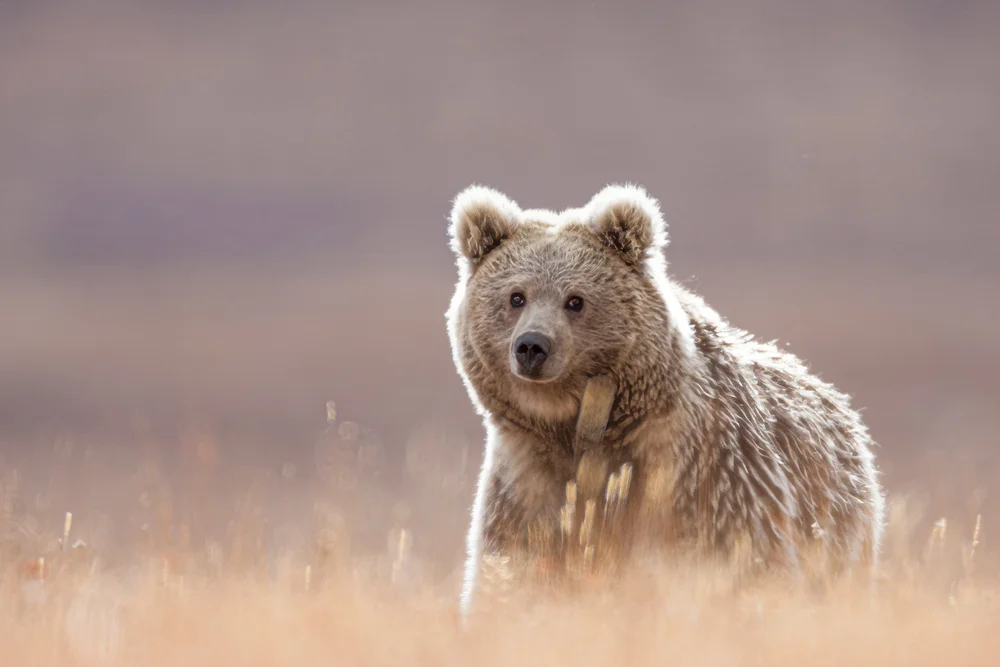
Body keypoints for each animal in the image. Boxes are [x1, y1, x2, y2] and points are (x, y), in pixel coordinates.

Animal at [445, 183, 886, 617]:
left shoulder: (702, 470)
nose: (532, 346)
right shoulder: (526, 477)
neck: (579, 429)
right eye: (516, 296)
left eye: (575, 300)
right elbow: (514, 564)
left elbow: (743, 556)